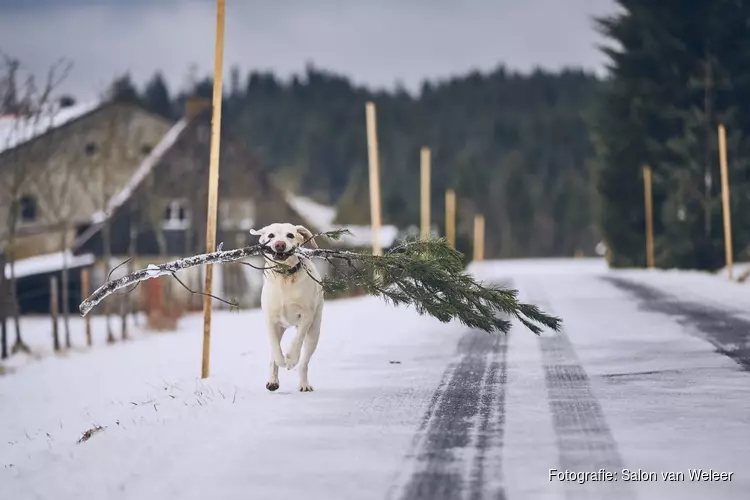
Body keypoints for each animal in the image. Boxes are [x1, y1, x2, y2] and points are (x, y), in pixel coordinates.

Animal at [251, 222, 324, 390]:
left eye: (290, 235)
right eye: (270, 235)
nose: (280, 245)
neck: (285, 276)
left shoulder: (306, 316)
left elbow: (297, 340)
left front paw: (291, 360)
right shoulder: (271, 320)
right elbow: (275, 348)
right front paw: (282, 361)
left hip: (314, 332)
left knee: (304, 362)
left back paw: (304, 384)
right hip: (281, 328)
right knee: (274, 351)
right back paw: (272, 381)